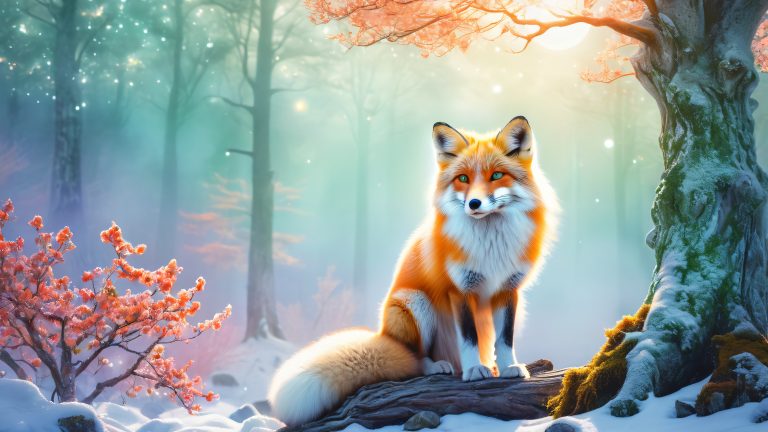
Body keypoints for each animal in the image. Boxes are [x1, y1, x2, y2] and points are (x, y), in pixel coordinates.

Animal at [268, 116, 557, 426]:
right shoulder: (458, 289)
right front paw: (472, 372)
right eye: (463, 179)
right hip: (415, 302)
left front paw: (508, 368)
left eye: (496, 176)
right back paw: (439, 366)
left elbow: (504, 339)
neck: (491, 245)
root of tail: (383, 334)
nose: (474, 204)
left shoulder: (509, 289)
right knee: (414, 360)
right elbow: (468, 338)